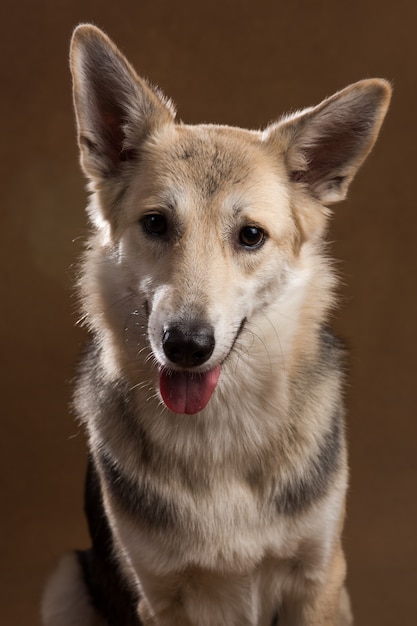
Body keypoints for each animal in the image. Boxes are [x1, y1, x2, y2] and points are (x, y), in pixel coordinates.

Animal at [42, 22, 390, 620]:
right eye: (156, 224)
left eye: (250, 235)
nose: (186, 344)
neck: (219, 432)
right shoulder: (161, 599)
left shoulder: (319, 582)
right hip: (64, 582)